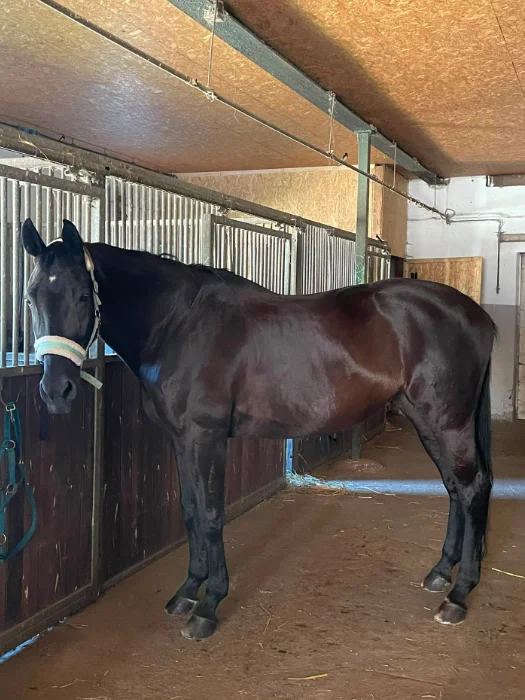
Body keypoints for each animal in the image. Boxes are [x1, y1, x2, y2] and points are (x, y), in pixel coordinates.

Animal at [22, 218, 496, 640]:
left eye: (83, 295)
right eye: (30, 297)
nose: (55, 390)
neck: (178, 324)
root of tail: (479, 317)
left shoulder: (207, 437)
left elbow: (211, 515)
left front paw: (209, 606)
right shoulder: (181, 439)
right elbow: (190, 511)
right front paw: (187, 592)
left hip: (447, 422)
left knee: (471, 489)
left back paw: (458, 595)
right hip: (428, 421)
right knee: (455, 488)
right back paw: (441, 573)